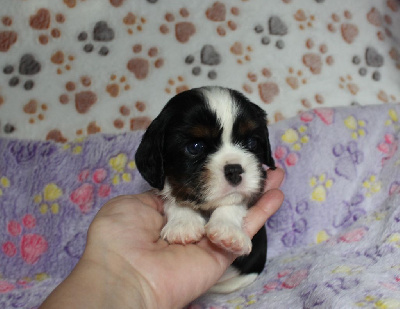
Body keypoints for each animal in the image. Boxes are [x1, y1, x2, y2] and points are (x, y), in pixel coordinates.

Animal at [134, 85, 276, 292]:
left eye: (251, 143)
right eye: (195, 147)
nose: (234, 170)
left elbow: (234, 204)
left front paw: (228, 231)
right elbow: (176, 200)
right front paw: (183, 225)